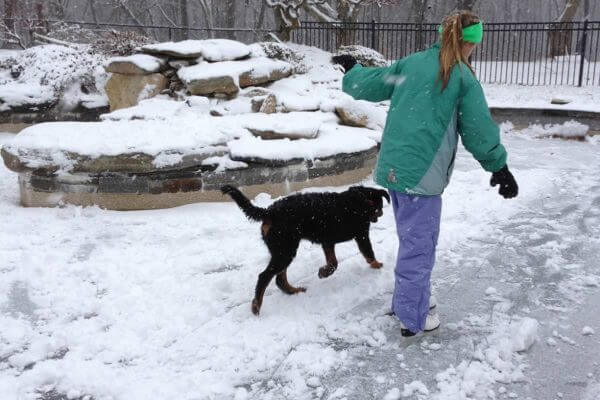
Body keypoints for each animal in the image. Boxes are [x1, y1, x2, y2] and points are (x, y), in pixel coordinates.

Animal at [220, 185, 390, 316]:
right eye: (379, 208)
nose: (380, 214)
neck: (362, 199)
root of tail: (269, 212)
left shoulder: (327, 241)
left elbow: (333, 262)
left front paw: (323, 272)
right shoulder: (362, 234)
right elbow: (368, 252)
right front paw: (378, 265)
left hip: (283, 250)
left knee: (279, 278)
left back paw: (293, 291)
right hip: (285, 250)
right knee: (264, 276)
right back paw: (256, 306)